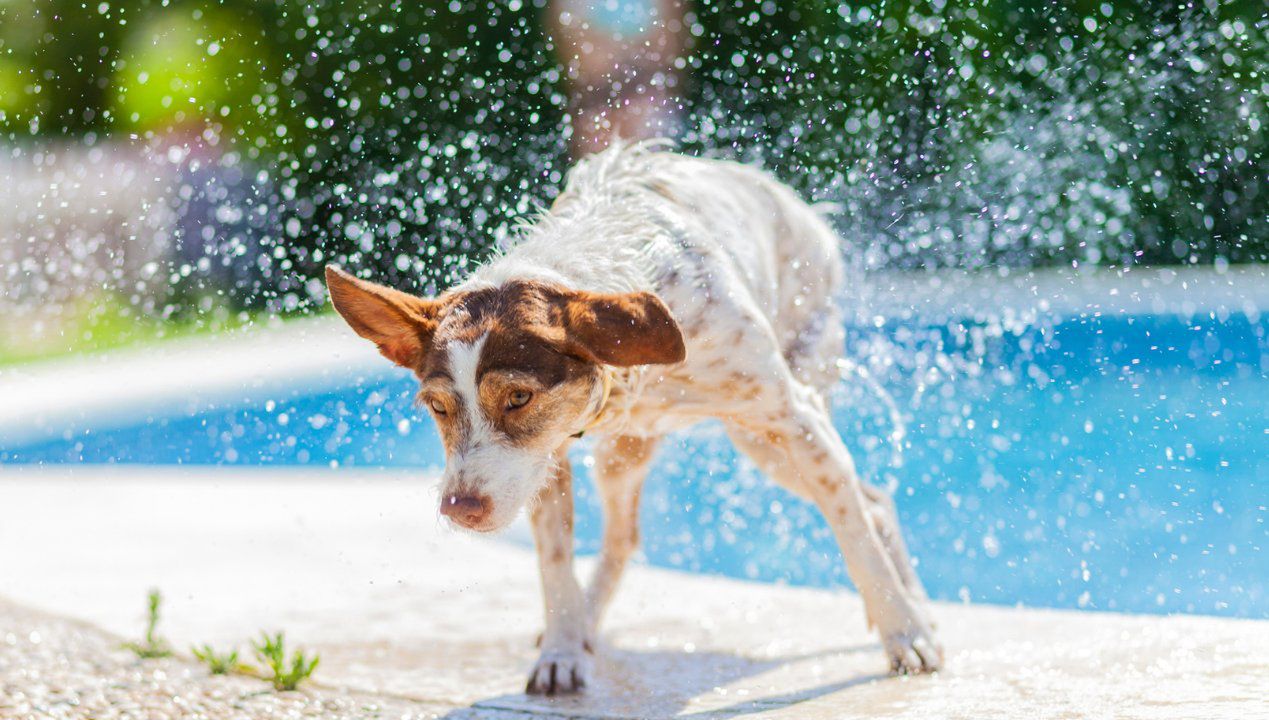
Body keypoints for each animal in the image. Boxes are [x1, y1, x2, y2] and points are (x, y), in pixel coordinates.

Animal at [324, 139, 944, 690]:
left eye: (518, 398)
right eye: (437, 406)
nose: (460, 509)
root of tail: (798, 206)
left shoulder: (794, 419)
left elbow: (854, 535)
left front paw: (905, 634)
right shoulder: (546, 459)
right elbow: (555, 564)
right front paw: (562, 649)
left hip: (768, 433)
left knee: (869, 503)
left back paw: (913, 607)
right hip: (628, 457)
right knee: (624, 540)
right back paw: (586, 624)